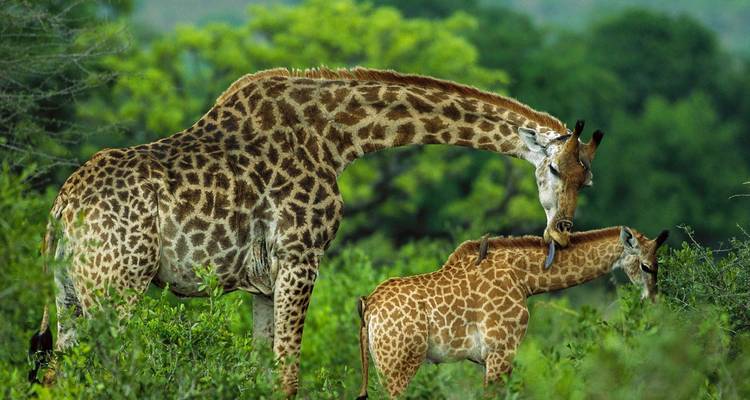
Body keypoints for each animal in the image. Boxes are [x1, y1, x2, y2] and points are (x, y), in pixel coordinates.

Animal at [30, 67, 604, 395]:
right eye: (555, 170)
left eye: (588, 179)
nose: (561, 232)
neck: (339, 137)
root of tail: (61, 209)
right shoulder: (301, 254)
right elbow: (289, 374)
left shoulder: (262, 282)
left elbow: (264, 371)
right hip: (117, 287)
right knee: (108, 371)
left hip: (69, 292)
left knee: (59, 372)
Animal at [356, 227, 669, 398]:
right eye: (646, 266)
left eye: (657, 265)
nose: (653, 300)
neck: (524, 279)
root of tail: (368, 306)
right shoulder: (501, 349)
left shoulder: (488, 358)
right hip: (398, 364)